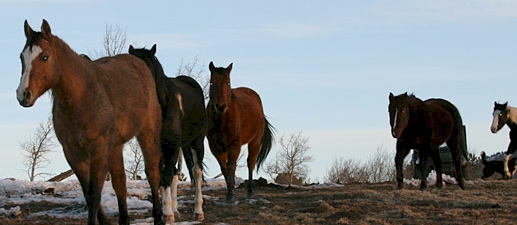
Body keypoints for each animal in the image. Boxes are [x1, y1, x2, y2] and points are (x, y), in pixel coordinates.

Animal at [15, 19, 163, 225]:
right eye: (22, 57)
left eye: (45, 57)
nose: (23, 95)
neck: (81, 97)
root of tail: (139, 64)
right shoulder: (72, 153)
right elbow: (87, 193)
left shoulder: (98, 149)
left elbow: (94, 194)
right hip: (115, 147)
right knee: (120, 182)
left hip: (147, 133)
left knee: (152, 172)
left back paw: (159, 216)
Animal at [128, 44, 206, 223]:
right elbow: (159, 176)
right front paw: (165, 212)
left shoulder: (172, 146)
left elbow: (166, 175)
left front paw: (167, 213)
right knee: (176, 173)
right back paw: (176, 209)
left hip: (197, 141)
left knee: (196, 171)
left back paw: (198, 211)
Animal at [208, 61, 276, 202]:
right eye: (212, 82)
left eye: (228, 83)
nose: (220, 106)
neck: (222, 120)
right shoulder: (215, 147)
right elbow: (224, 168)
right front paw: (230, 191)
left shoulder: (234, 146)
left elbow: (231, 167)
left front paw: (231, 194)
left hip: (255, 142)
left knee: (250, 163)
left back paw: (250, 191)